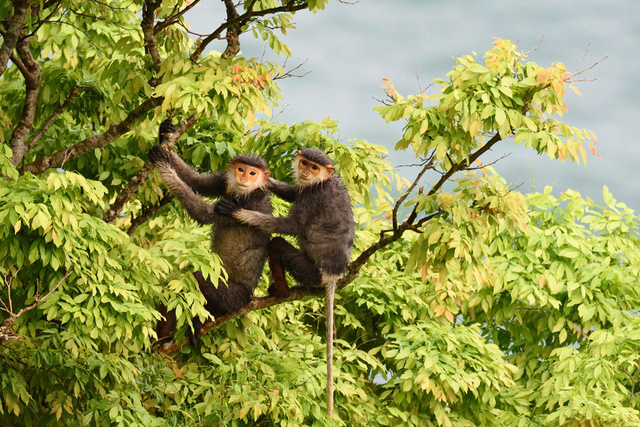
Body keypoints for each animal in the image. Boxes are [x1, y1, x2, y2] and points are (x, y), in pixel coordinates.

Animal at [150, 118, 272, 346]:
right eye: (241, 169)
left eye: (253, 173)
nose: (244, 178)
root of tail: (249, 298)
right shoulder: (224, 180)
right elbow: (197, 182)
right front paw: (164, 133)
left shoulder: (246, 205)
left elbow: (204, 213)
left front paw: (163, 165)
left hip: (233, 298)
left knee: (197, 278)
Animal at [215, 147, 356, 418]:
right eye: (305, 163)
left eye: (314, 167)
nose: (305, 173)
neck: (324, 180)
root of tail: (333, 275)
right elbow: (293, 192)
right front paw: (266, 180)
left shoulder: (314, 195)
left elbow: (292, 225)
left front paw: (237, 212)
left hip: (310, 272)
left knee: (277, 244)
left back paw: (281, 290)